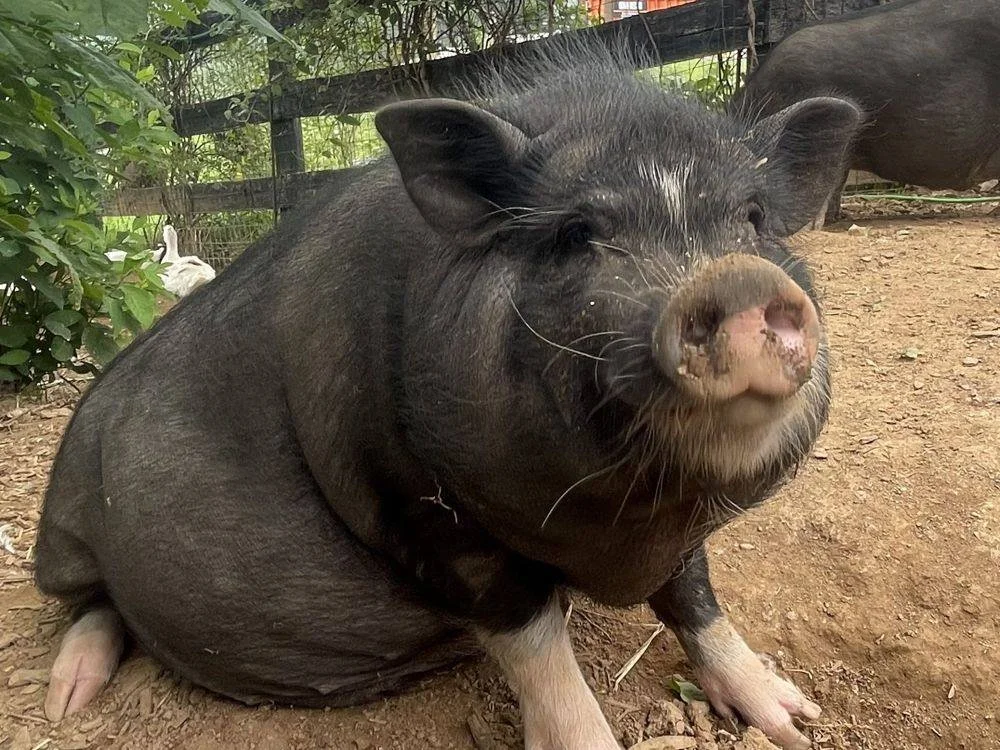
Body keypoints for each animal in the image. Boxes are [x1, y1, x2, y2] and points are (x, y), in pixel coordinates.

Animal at [34, 45, 860, 750]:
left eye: (753, 219)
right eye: (576, 232)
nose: (737, 279)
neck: (628, 525)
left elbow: (692, 591)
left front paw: (794, 722)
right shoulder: (409, 497)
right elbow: (530, 634)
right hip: (64, 524)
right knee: (90, 602)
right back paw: (64, 700)